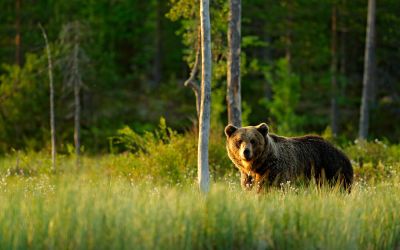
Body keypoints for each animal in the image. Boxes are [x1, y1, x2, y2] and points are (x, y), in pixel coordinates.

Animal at [225, 123, 354, 191]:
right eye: (239, 141)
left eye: (253, 141)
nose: (246, 152)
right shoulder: (247, 177)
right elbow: (250, 187)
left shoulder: (276, 171)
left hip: (330, 169)